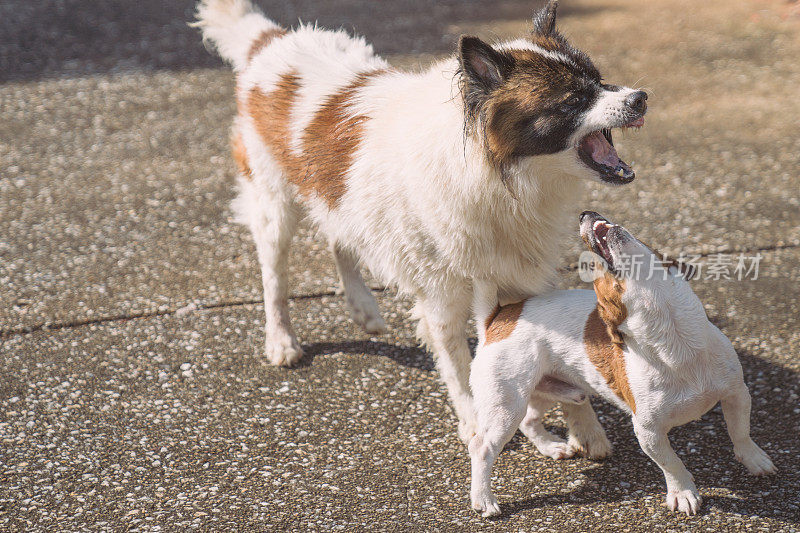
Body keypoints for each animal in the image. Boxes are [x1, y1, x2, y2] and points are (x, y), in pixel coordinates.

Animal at [197, 1, 648, 440]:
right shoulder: (441, 296)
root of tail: (271, 41)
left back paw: (362, 307)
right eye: (572, 100)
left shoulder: (522, 275)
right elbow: (458, 365)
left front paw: (586, 429)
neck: (495, 172)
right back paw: (281, 339)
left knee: (339, 238)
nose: (641, 97)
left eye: (600, 80)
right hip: (273, 203)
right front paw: (474, 420)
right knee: (275, 275)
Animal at [468, 211, 776, 516]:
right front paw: (683, 493)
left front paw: (754, 460)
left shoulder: (737, 393)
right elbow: (671, 463)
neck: (677, 342)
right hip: (506, 404)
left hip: (549, 390)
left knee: (530, 420)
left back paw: (552, 447)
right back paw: (483, 499)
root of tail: (497, 317)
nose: (585, 213)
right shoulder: (648, 432)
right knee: (482, 447)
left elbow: (741, 432)